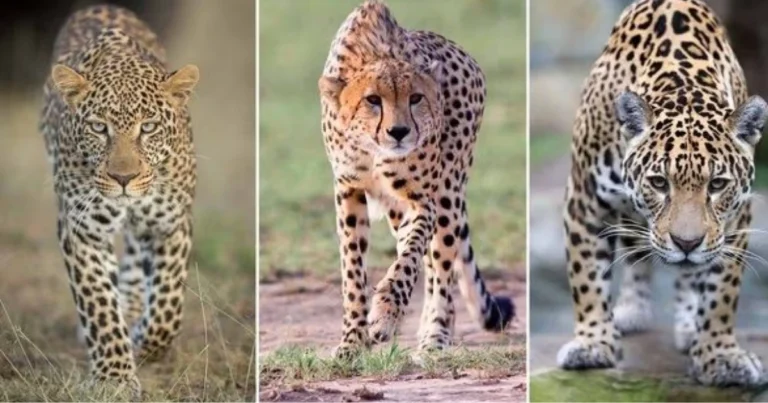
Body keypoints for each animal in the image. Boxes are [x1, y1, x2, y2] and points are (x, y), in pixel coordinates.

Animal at [40, 5, 199, 395]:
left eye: (149, 128)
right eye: (99, 128)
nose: (123, 179)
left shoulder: (171, 224)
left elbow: (167, 308)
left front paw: (144, 341)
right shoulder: (81, 230)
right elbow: (98, 303)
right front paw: (114, 378)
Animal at [318, 0, 514, 358]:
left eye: (416, 98)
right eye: (372, 100)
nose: (399, 132)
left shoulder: (422, 201)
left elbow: (407, 262)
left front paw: (384, 315)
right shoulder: (349, 191)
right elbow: (353, 270)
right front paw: (353, 340)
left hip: (448, 195)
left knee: (440, 265)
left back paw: (435, 335)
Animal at [558, 0, 768, 387]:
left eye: (717, 185)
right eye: (659, 183)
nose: (687, 243)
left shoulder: (737, 218)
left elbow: (722, 289)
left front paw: (719, 354)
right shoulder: (583, 201)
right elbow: (587, 276)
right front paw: (592, 344)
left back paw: (687, 323)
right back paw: (633, 310)